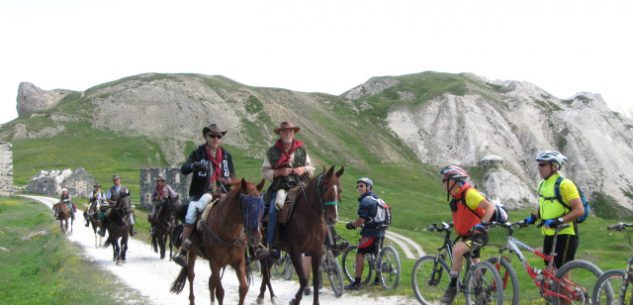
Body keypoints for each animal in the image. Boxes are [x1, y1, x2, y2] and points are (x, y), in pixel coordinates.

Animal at [254, 166, 344, 304]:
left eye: (339, 190)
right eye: (324, 187)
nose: (332, 218)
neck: (309, 219)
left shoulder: (316, 252)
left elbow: (315, 281)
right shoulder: (295, 252)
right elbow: (304, 279)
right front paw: (295, 300)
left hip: (273, 250)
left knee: (267, 269)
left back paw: (264, 295)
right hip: (262, 245)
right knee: (265, 270)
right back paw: (267, 296)